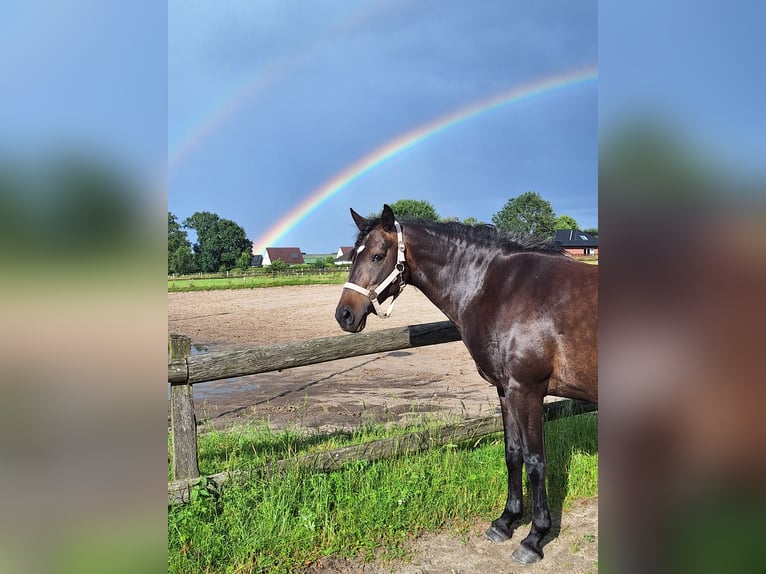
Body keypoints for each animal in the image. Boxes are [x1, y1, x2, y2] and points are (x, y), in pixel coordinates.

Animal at [338, 205, 600, 564]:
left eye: (378, 256)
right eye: (353, 255)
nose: (345, 315)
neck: (498, 288)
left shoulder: (527, 391)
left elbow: (535, 462)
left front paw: (534, 538)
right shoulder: (505, 390)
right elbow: (513, 454)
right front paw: (505, 522)